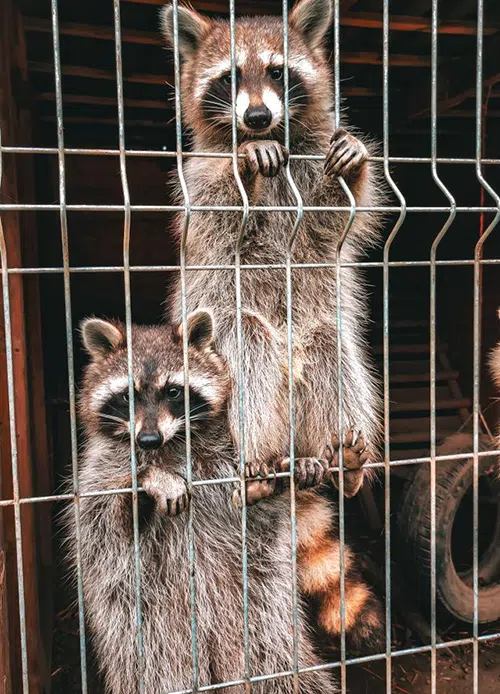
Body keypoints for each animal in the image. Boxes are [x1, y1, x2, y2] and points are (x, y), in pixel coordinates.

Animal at [67, 311, 339, 694]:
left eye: (173, 391)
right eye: (127, 396)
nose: (149, 439)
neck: (172, 444)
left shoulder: (221, 454)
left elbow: (258, 507)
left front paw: (288, 468)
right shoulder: (99, 470)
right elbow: (107, 523)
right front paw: (151, 481)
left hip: (257, 604)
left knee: (274, 661)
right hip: (146, 622)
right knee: (159, 670)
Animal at [160, 0, 384, 648]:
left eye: (279, 73)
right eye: (230, 78)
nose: (257, 118)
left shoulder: (311, 175)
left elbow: (334, 225)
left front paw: (351, 168)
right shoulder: (196, 182)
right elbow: (212, 214)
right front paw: (244, 162)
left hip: (319, 357)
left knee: (333, 349)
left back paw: (335, 459)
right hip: (226, 356)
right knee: (249, 340)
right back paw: (258, 457)